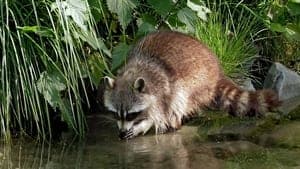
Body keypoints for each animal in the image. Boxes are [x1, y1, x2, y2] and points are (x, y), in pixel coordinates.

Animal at [103, 31, 282, 139]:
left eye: (131, 115)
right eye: (115, 113)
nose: (121, 132)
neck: (134, 71)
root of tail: (217, 70)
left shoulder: (163, 89)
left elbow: (161, 114)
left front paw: (144, 125)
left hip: (197, 80)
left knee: (180, 100)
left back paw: (175, 124)